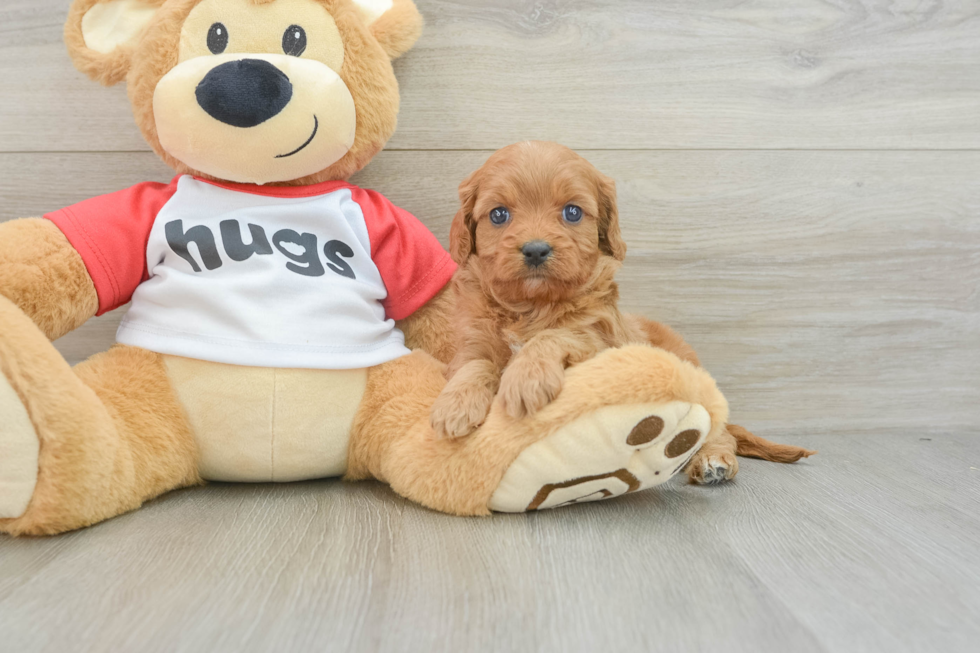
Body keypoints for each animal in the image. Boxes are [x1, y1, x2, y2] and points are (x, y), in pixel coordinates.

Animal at [428, 140, 812, 482]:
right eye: (498, 214)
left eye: (572, 212)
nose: (536, 250)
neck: (532, 307)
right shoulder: (469, 346)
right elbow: (476, 365)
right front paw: (455, 404)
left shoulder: (603, 345)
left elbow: (562, 334)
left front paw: (526, 377)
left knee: (719, 430)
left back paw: (713, 460)